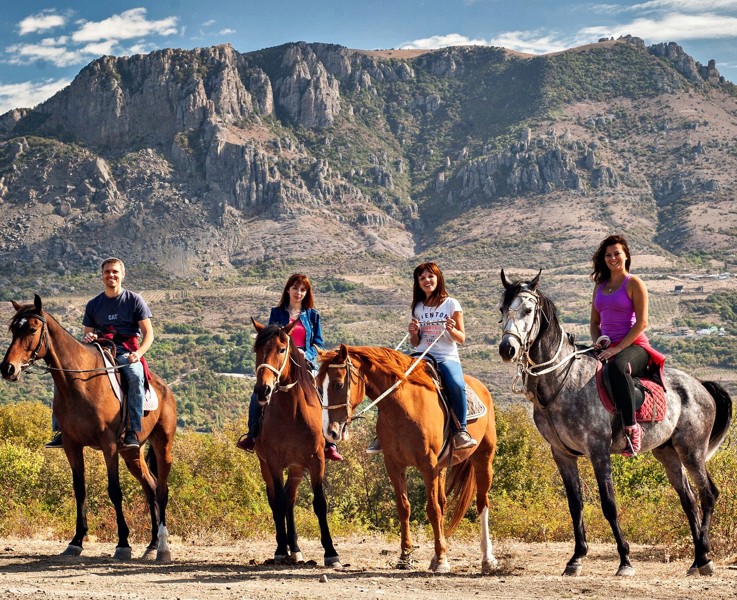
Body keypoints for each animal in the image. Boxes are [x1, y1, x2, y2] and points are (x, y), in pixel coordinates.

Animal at [0, 296, 176, 564]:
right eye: (12, 330)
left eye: (31, 329)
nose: (7, 369)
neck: (80, 384)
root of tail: (165, 389)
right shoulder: (72, 445)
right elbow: (79, 489)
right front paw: (76, 541)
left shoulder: (108, 444)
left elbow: (114, 491)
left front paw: (123, 544)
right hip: (132, 452)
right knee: (151, 486)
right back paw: (152, 545)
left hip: (161, 443)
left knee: (163, 489)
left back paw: (163, 548)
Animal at [247, 318, 340, 568]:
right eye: (257, 350)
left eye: (281, 349)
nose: (263, 390)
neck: (291, 412)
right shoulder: (274, 462)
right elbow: (277, 502)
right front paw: (281, 550)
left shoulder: (316, 460)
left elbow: (319, 503)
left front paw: (331, 553)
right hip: (267, 466)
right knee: (277, 500)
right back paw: (285, 547)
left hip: (297, 467)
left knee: (290, 499)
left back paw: (295, 549)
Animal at [320, 344, 498, 576]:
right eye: (318, 386)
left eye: (339, 384)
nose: (330, 432)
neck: (404, 406)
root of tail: (481, 387)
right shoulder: (394, 465)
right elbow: (404, 507)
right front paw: (406, 556)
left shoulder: (428, 465)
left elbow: (432, 510)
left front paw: (442, 560)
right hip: (442, 468)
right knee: (443, 503)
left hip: (483, 458)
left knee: (481, 503)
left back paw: (487, 559)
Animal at [494, 270, 732, 576]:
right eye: (502, 310)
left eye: (527, 310)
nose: (507, 349)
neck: (563, 380)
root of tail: (700, 385)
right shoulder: (561, 454)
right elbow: (575, 504)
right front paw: (576, 559)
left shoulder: (598, 450)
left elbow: (608, 504)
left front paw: (625, 560)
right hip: (667, 452)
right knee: (688, 500)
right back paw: (697, 560)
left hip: (691, 450)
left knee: (708, 494)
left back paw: (705, 558)